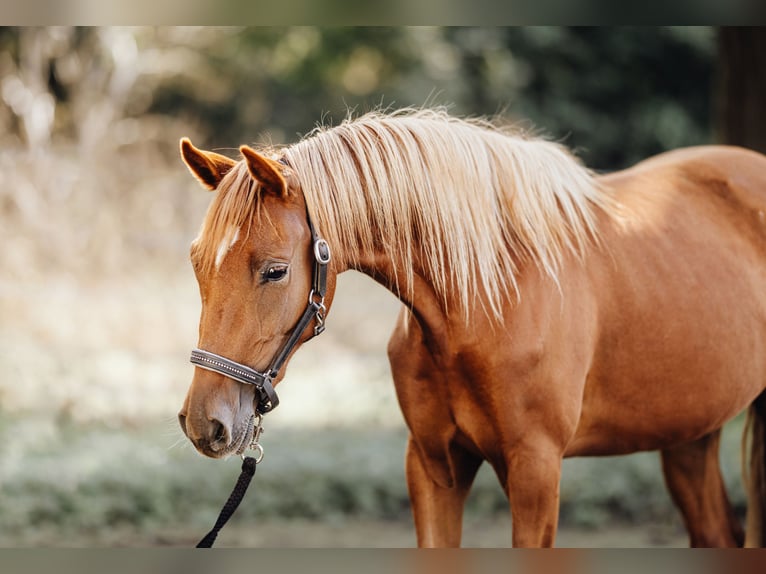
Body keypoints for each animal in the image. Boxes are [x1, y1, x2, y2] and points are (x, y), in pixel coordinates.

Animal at [177, 109, 766, 548]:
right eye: (196, 263)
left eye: (275, 271)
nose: (205, 423)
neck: (484, 304)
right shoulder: (435, 465)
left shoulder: (536, 471)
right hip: (690, 434)